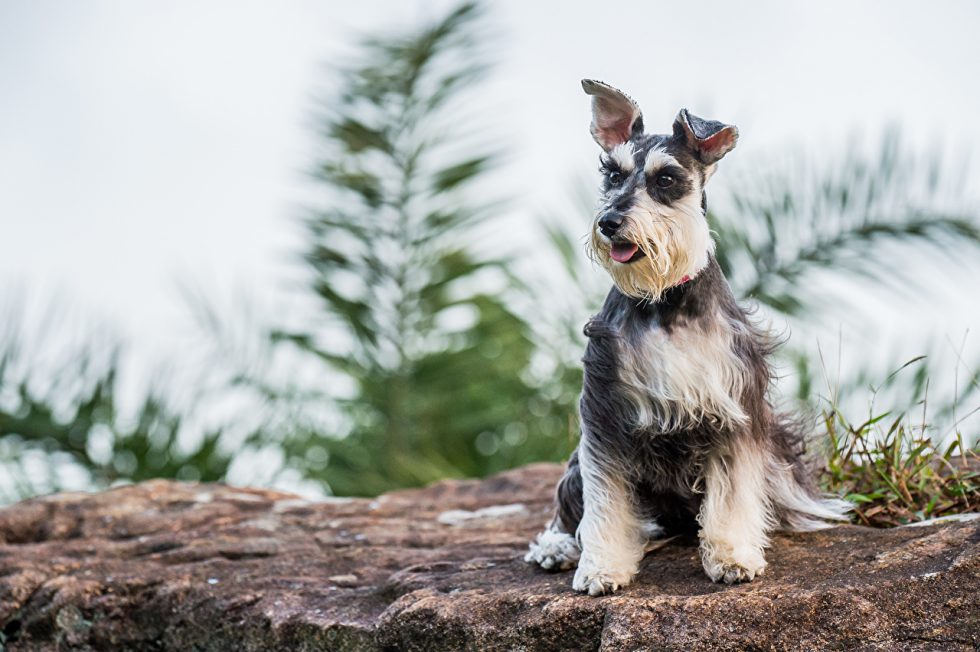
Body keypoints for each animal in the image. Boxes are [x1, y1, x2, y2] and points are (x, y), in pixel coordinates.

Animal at [520, 79, 848, 592]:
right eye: (612, 174)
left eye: (667, 180)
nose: (609, 222)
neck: (664, 304)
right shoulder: (604, 415)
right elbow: (604, 499)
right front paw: (601, 568)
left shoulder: (735, 412)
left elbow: (732, 495)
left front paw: (732, 557)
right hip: (576, 464)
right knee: (568, 506)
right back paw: (556, 547)